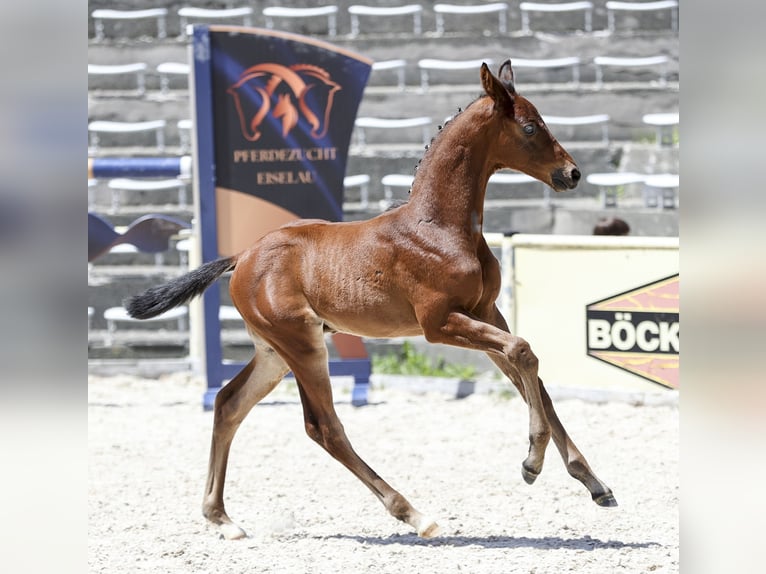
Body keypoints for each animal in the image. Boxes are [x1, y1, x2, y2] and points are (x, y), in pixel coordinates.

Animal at [126, 60, 617, 541]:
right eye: (531, 127)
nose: (572, 173)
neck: (440, 227)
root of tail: (241, 256)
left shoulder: (486, 312)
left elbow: (534, 380)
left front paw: (594, 483)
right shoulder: (440, 323)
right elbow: (523, 352)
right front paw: (532, 463)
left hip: (274, 352)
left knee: (228, 404)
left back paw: (221, 518)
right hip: (303, 345)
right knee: (324, 427)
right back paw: (414, 514)